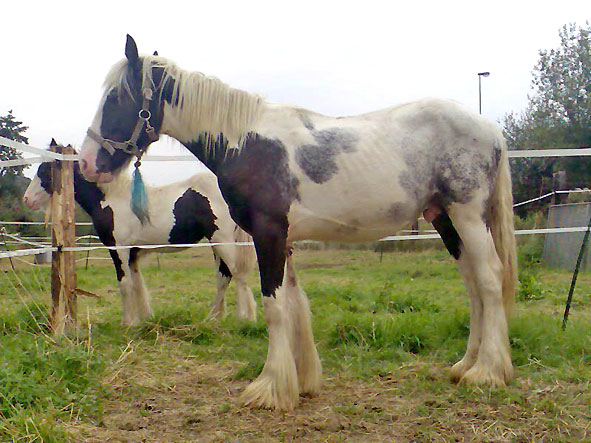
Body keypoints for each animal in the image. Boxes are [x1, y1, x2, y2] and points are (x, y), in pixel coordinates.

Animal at [25, 142, 256, 326]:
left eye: (45, 170)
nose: (27, 199)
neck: (112, 198)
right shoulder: (133, 253)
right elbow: (137, 285)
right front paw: (143, 319)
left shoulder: (118, 249)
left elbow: (125, 284)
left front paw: (127, 323)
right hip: (216, 243)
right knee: (224, 277)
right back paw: (214, 318)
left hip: (223, 241)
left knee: (238, 275)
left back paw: (245, 318)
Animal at [77, 35, 520, 412]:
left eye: (116, 97)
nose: (87, 164)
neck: (247, 143)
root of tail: (489, 127)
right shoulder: (282, 237)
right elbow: (294, 304)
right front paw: (302, 380)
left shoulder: (268, 233)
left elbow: (274, 307)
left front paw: (270, 388)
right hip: (445, 220)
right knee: (472, 284)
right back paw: (465, 365)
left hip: (467, 214)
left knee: (488, 278)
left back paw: (487, 372)